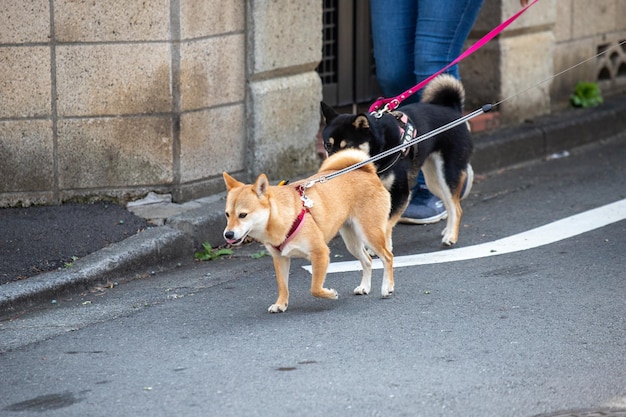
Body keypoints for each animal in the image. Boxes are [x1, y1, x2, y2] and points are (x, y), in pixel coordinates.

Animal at [222, 149, 392, 312]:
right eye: (227, 214)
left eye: (243, 215)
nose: (228, 234)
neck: (282, 218)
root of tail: (367, 172)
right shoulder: (280, 259)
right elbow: (283, 286)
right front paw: (281, 304)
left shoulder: (320, 253)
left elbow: (315, 288)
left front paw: (330, 294)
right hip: (352, 242)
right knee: (367, 260)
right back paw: (365, 287)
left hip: (370, 234)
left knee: (387, 257)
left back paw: (387, 287)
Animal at [320, 73, 470, 245]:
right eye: (328, 145)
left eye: (348, 147)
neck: (377, 153)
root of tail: (452, 109)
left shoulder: (400, 193)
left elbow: (385, 225)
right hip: (434, 180)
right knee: (450, 203)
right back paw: (447, 230)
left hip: (447, 173)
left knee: (456, 208)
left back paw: (451, 236)